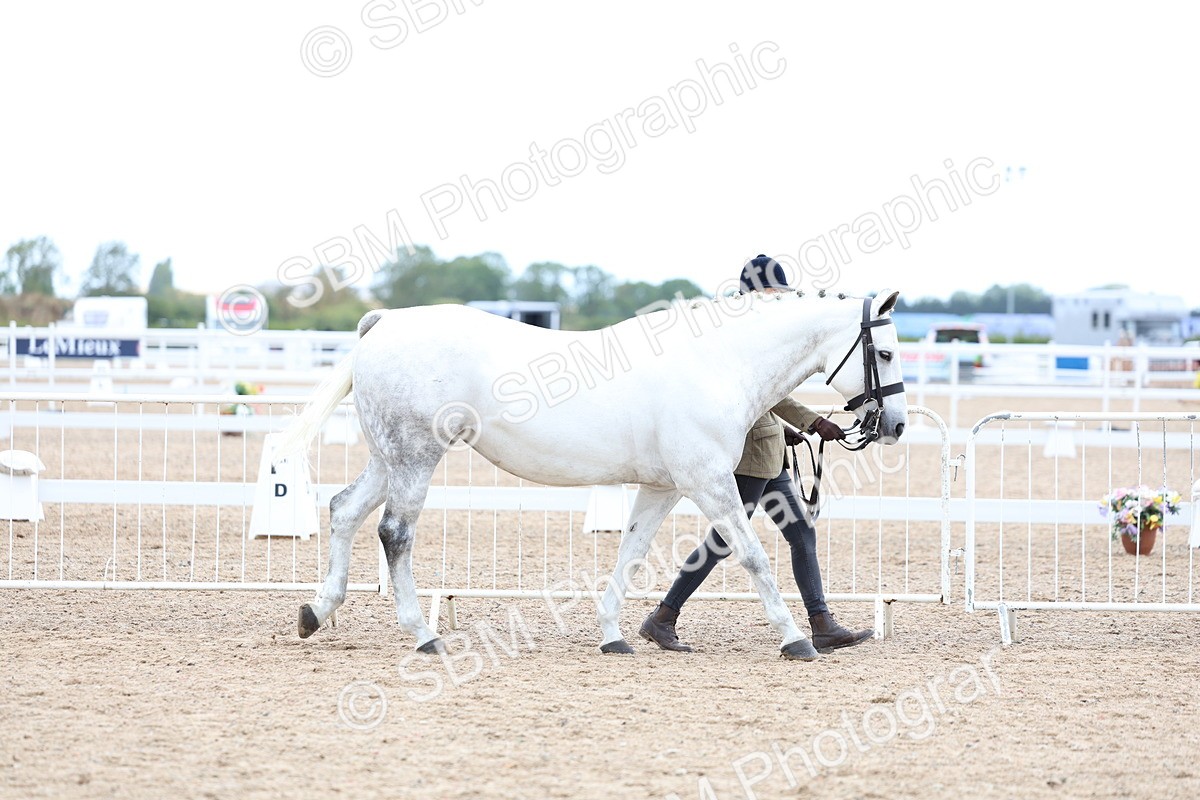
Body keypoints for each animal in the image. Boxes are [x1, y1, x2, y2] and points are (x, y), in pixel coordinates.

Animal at [272, 289, 908, 659]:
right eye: (889, 352)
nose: (895, 424)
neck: (717, 364)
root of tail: (384, 323)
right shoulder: (708, 483)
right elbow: (752, 556)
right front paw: (797, 640)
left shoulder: (663, 487)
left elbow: (631, 554)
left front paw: (615, 636)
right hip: (415, 457)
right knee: (394, 533)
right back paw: (424, 636)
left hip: (390, 456)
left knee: (345, 510)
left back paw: (315, 613)